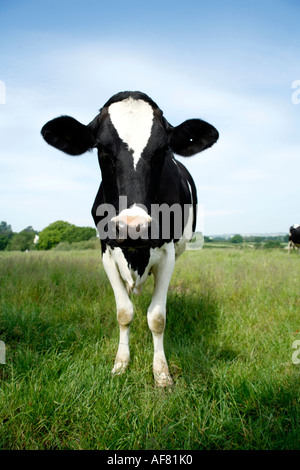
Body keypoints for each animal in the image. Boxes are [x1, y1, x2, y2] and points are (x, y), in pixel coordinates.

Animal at [41, 91, 218, 386]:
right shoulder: (106, 249)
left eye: (163, 150)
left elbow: (157, 317)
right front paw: (121, 363)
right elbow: (124, 312)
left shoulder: (168, 253)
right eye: (101, 149)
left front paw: (161, 373)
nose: (133, 227)